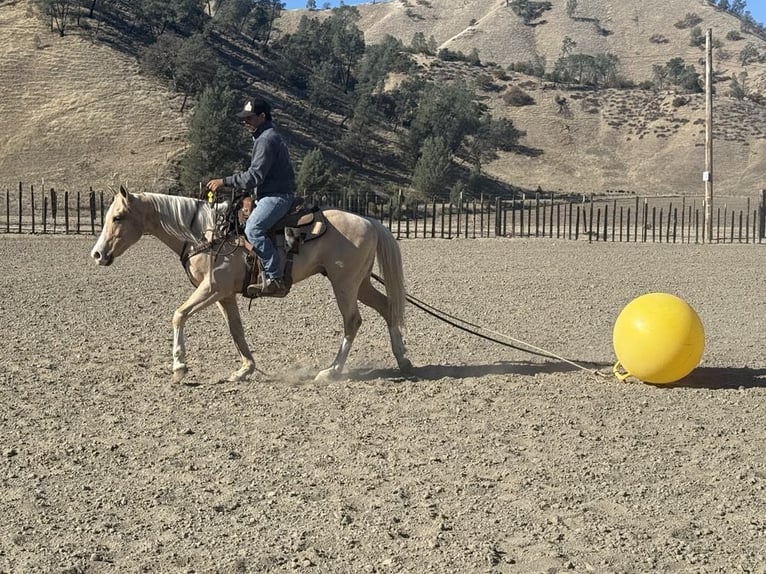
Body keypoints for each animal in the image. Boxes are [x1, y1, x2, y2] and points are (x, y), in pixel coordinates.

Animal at [90, 187, 411, 384]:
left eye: (118, 217)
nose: (97, 254)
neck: (206, 233)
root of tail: (370, 221)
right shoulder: (224, 295)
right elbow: (236, 330)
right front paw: (245, 369)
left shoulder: (211, 289)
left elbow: (179, 315)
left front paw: (179, 366)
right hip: (360, 283)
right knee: (388, 308)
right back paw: (403, 360)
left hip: (344, 285)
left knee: (352, 321)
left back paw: (331, 371)